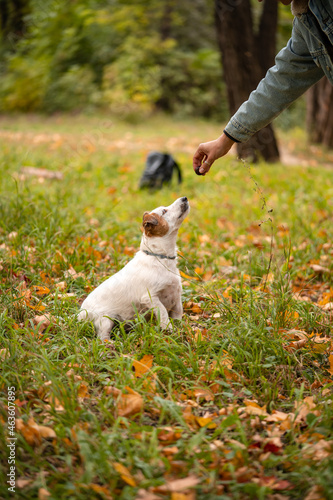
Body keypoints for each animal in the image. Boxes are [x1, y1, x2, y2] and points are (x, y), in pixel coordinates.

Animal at [76, 195, 188, 340]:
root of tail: (80, 315)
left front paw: (179, 331)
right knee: (101, 337)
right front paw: (167, 328)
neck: (160, 258)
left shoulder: (176, 295)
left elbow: (178, 313)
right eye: (164, 211)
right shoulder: (150, 297)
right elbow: (162, 311)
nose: (184, 198)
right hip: (105, 320)